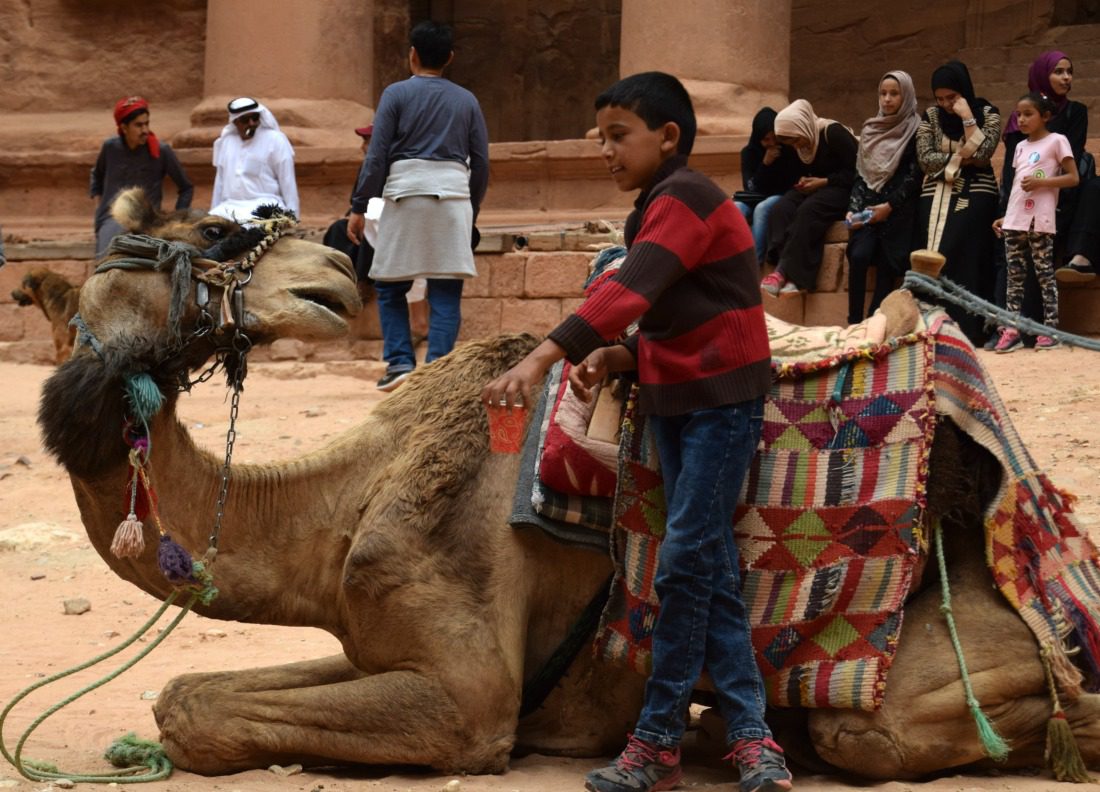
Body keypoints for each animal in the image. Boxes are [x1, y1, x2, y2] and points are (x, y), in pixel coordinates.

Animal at [32, 189, 1100, 782]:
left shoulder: (466, 701)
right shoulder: (375, 643)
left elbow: (199, 711)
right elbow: (186, 696)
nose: (336, 268)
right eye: (217, 231)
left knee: (878, 733)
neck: (341, 509)